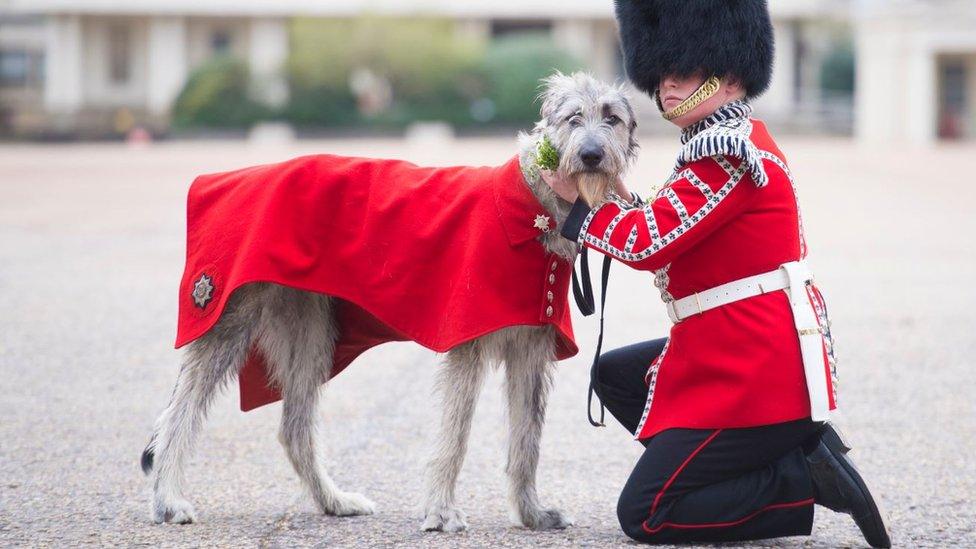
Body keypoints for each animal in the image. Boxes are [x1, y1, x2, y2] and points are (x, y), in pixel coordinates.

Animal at [141, 70, 636, 532]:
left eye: (611, 117)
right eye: (573, 117)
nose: (591, 155)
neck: (530, 211)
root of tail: (220, 179)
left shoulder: (532, 349)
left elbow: (527, 439)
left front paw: (532, 513)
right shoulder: (468, 342)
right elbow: (456, 434)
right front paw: (441, 512)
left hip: (311, 332)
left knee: (294, 428)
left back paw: (333, 500)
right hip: (229, 317)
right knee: (180, 413)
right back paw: (168, 500)